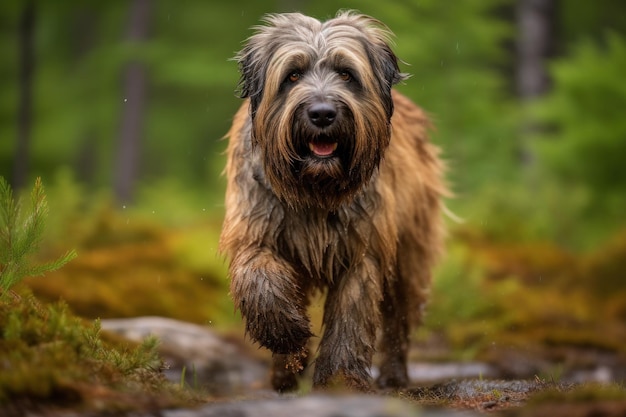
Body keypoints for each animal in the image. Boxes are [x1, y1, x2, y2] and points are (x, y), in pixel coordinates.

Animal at [219, 11, 444, 392]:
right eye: (292, 75)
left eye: (346, 74)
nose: (322, 113)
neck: (314, 188)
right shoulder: (254, 225)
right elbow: (259, 278)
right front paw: (286, 335)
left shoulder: (362, 248)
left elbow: (350, 317)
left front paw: (341, 379)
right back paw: (284, 373)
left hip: (410, 250)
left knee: (399, 316)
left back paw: (394, 375)